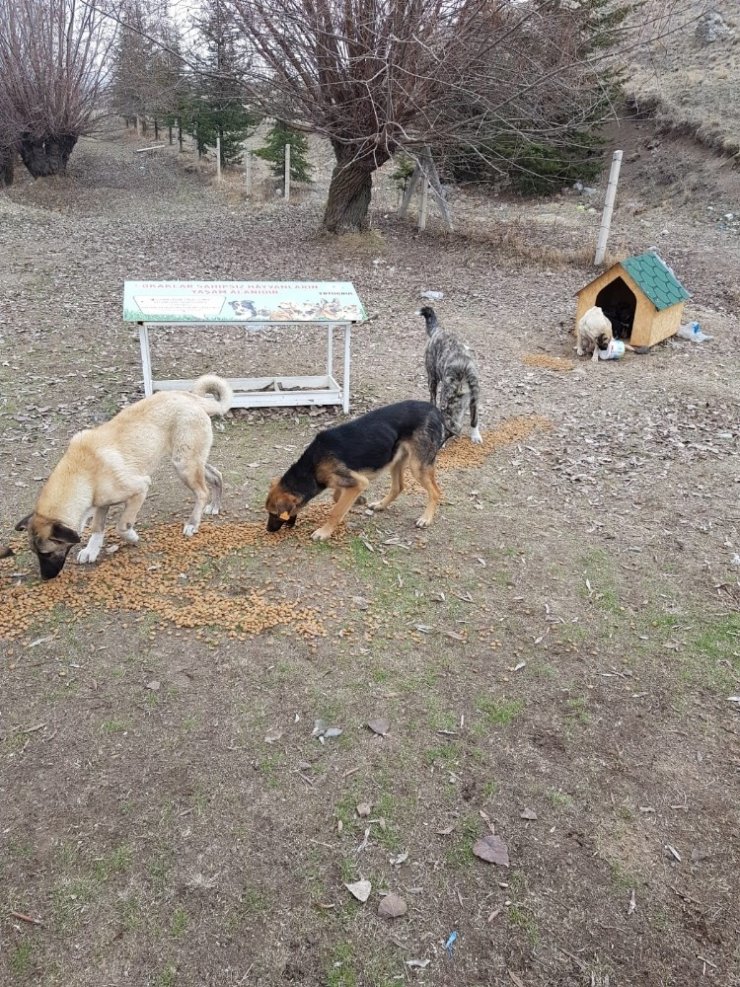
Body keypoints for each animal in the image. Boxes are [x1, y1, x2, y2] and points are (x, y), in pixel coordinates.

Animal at [17, 376, 231, 580]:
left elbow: (122, 525)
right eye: (35, 553)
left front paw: (132, 536)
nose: (44, 578)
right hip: (191, 462)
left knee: (202, 492)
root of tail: (190, 397)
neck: (82, 472)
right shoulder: (101, 502)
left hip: (184, 466)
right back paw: (214, 506)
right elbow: (97, 527)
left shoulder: (140, 489)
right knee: (216, 476)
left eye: (47, 553)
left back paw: (193, 523)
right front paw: (91, 550)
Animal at [268, 400, 448, 540]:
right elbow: (336, 497)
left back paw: (425, 518)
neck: (311, 467)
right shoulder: (348, 481)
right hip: (395, 460)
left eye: (275, 514)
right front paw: (359, 500)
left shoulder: (358, 482)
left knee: (435, 492)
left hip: (417, 466)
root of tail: (433, 409)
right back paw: (380, 505)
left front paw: (324, 532)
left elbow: (336, 510)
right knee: (398, 487)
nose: (268, 530)